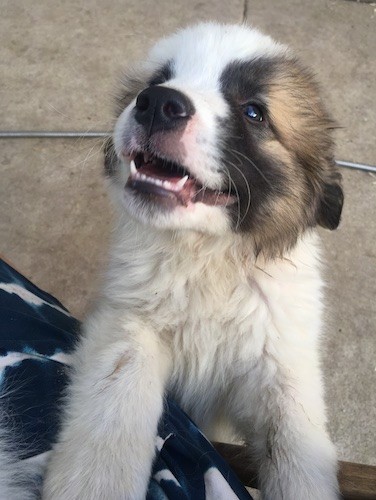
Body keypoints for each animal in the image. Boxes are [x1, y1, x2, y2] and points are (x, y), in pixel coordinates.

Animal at [42, 23, 342, 500]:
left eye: (254, 112)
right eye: (157, 80)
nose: (157, 103)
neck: (208, 258)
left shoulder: (281, 362)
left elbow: (297, 449)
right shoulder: (130, 321)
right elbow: (115, 394)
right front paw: (96, 482)